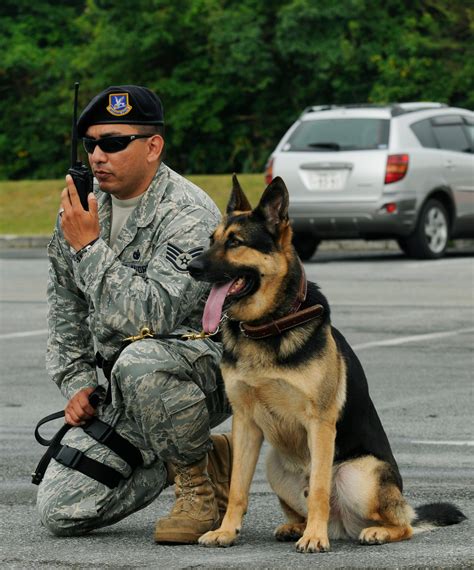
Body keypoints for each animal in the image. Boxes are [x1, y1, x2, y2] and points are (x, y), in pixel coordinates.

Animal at [186, 176, 466, 552]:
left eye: (235, 242)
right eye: (211, 240)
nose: (191, 267)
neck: (268, 326)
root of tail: (342, 525)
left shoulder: (319, 423)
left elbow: (318, 488)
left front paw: (314, 538)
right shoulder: (244, 423)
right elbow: (237, 488)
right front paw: (227, 531)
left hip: (360, 474)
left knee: (402, 524)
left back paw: (366, 531)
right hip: (275, 465)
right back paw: (296, 526)